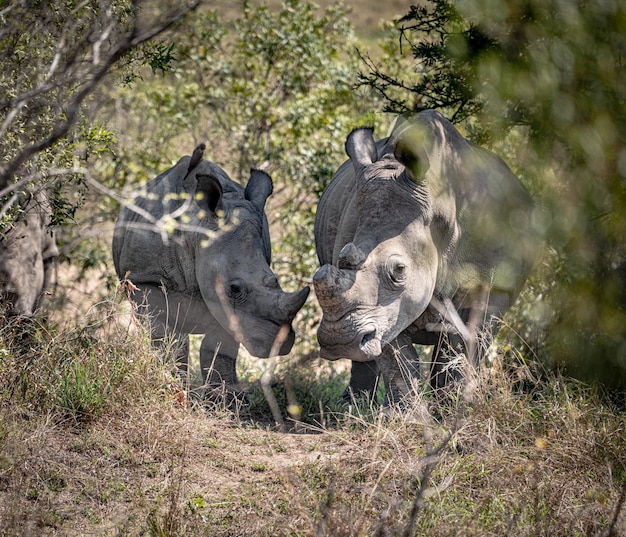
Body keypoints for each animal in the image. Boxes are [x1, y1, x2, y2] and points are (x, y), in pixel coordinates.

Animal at [113, 144, 308, 400]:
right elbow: (170, 339)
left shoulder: (227, 305)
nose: (282, 344)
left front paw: (225, 399)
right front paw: (173, 389)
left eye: (275, 280)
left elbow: (219, 348)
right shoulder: (146, 279)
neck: (197, 231)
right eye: (234, 288)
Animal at [312, 111, 536, 404]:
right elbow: (398, 363)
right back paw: (353, 406)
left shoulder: (493, 288)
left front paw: (453, 409)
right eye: (341, 260)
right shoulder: (387, 309)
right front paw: (407, 412)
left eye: (399, 270)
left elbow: (460, 352)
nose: (338, 340)